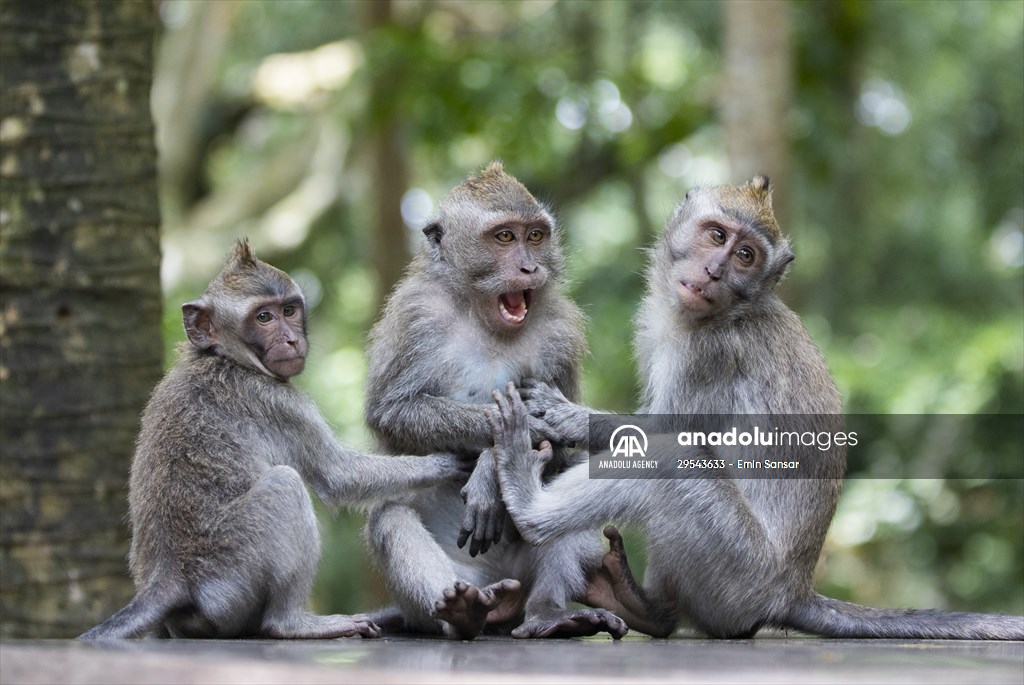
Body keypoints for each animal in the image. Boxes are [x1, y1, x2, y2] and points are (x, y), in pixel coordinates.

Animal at [80, 239, 467, 640]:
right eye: (263, 318)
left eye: (289, 310)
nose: (291, 339)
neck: (225, 357)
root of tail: (169, 578)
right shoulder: (277, 403)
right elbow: (336, 475)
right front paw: (446, 462)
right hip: (229, 576)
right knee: (285, 486)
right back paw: (292, 623)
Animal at [362, 161, 627, 640]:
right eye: (504, 237)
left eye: (535, 236)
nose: (529, 267)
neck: (483, 315)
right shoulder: (415, 314)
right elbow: (394, 412)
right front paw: (512, 436)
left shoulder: (561, 333)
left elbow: (563, 447)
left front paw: (493, 464)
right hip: (453, 581)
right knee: (391, 516)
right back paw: (461, 613)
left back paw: (550, 615)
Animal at [492, 177, 1024, 641]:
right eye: (717, 236)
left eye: (745, 257)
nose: (713, 271)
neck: (720, 313)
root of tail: (791, 594)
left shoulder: (710, 355)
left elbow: (662, 428)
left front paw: (568, 415)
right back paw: (645, 607)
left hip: (739, 573)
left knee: (674, 460)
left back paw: (528, 505)